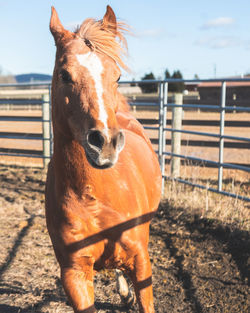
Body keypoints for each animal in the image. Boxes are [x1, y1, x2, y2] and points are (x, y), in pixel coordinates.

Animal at [45, 5, 161, 312]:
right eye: (64, 74)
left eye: (117, 76)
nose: (105, 142)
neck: (93, 198)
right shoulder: (74, 275)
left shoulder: (142, 263)